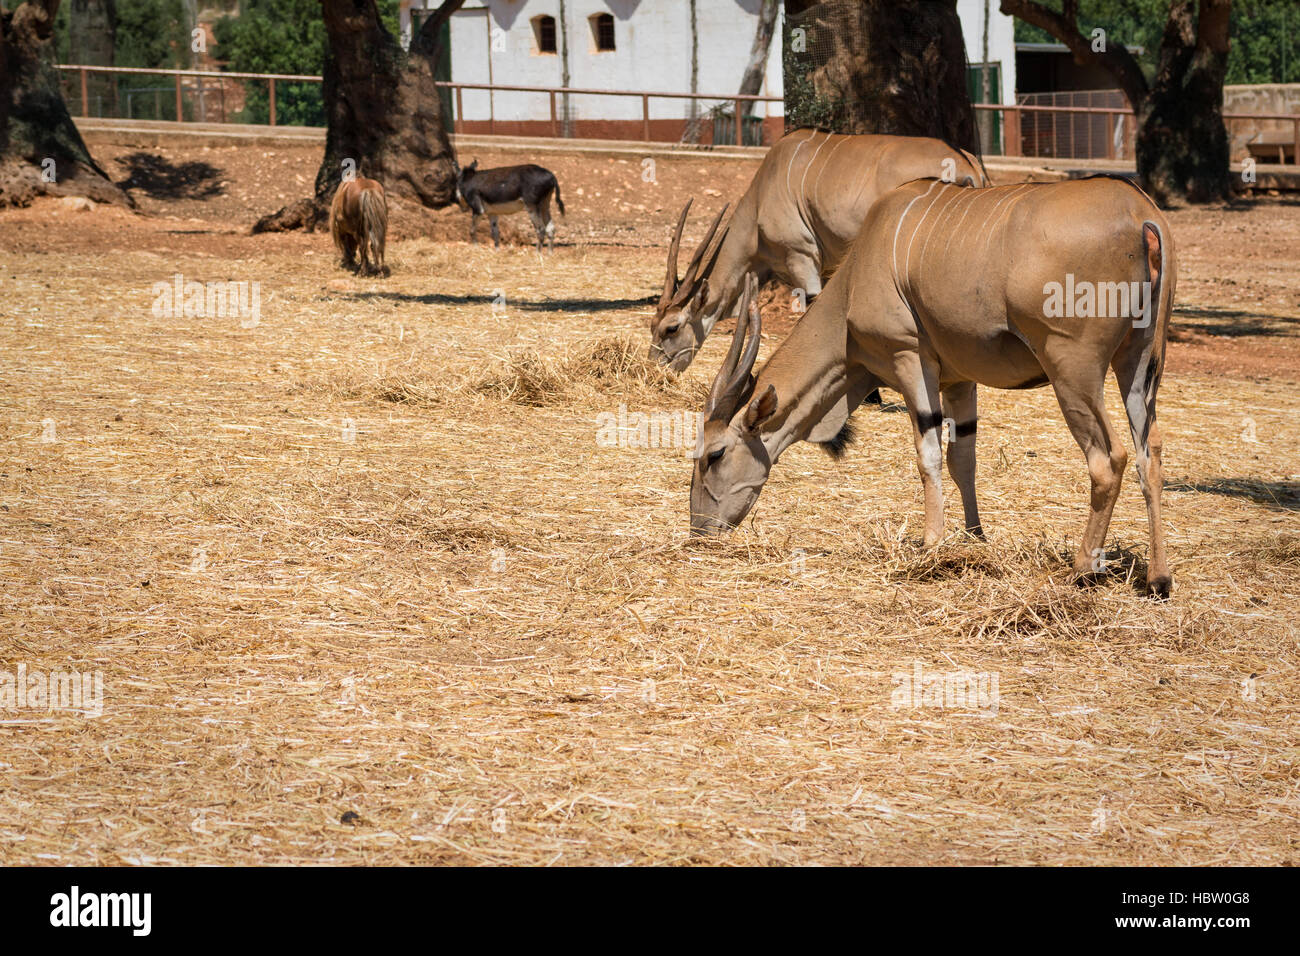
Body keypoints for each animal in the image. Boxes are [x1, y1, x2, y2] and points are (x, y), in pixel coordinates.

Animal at [650, 130, 982, 374]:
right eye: (652, 326)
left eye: (671, 328)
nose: (655, 369)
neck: (762, 194)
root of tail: (965, 165)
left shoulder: (802, 257)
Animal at [691, 178, 1180, 598]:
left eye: (714, 455)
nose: (699, 532)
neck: (856, 276)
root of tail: (1141, 217)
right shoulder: (960, 380)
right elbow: (963, 458)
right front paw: (974, 538)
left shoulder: (909, 357)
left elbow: (927, 454)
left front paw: (930, 544)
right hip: (1140, 366)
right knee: (1149, 453)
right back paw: (1158, 578)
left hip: (1072, 371)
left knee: (1109, 458)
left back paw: (1082, 569)